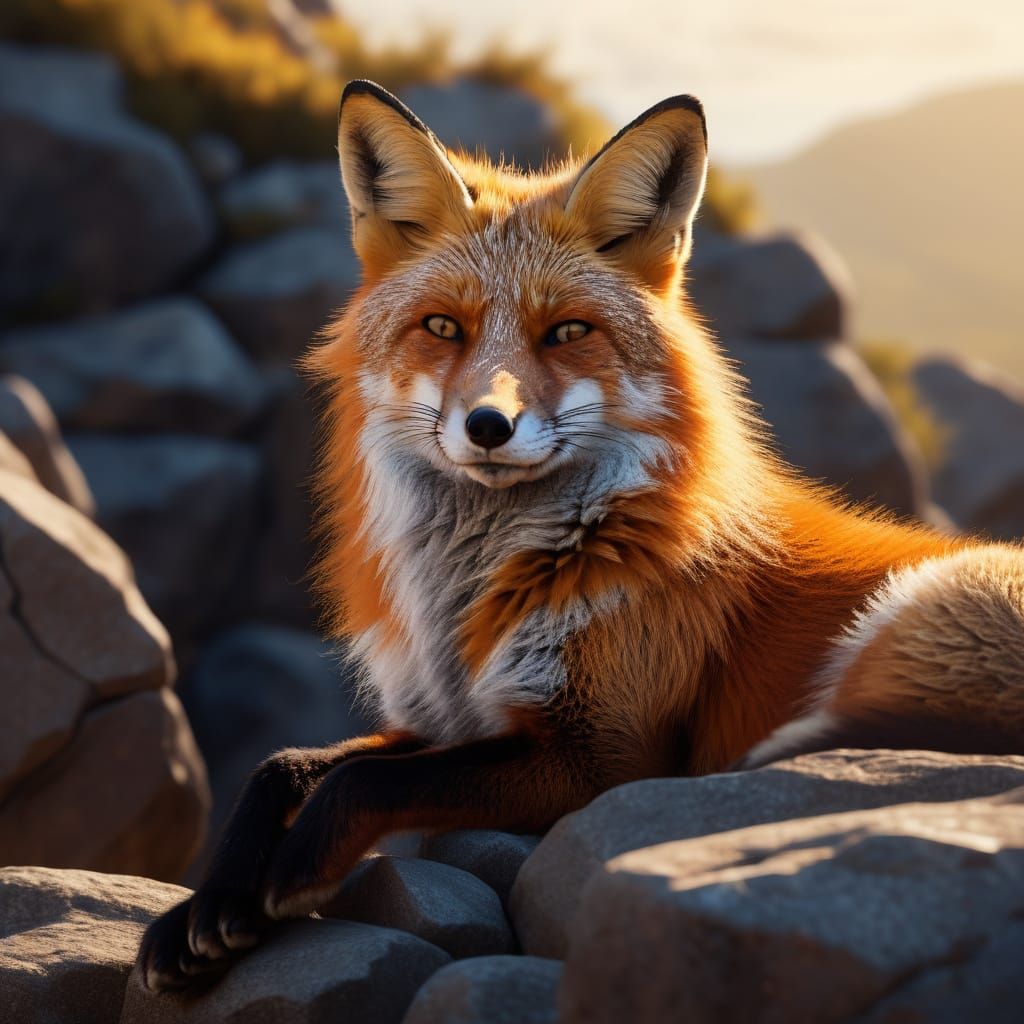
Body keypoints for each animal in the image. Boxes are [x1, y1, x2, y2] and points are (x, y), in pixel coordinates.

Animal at [139, 79, 1024, 992]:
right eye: (443, 327)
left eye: (567, 332)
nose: (488, 426)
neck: (469, 599)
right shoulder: (449, 719)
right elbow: (288, 765)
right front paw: (209, 905)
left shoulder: (600, 757)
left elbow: (363, 784)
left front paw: (288, 872)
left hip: (921, 612)